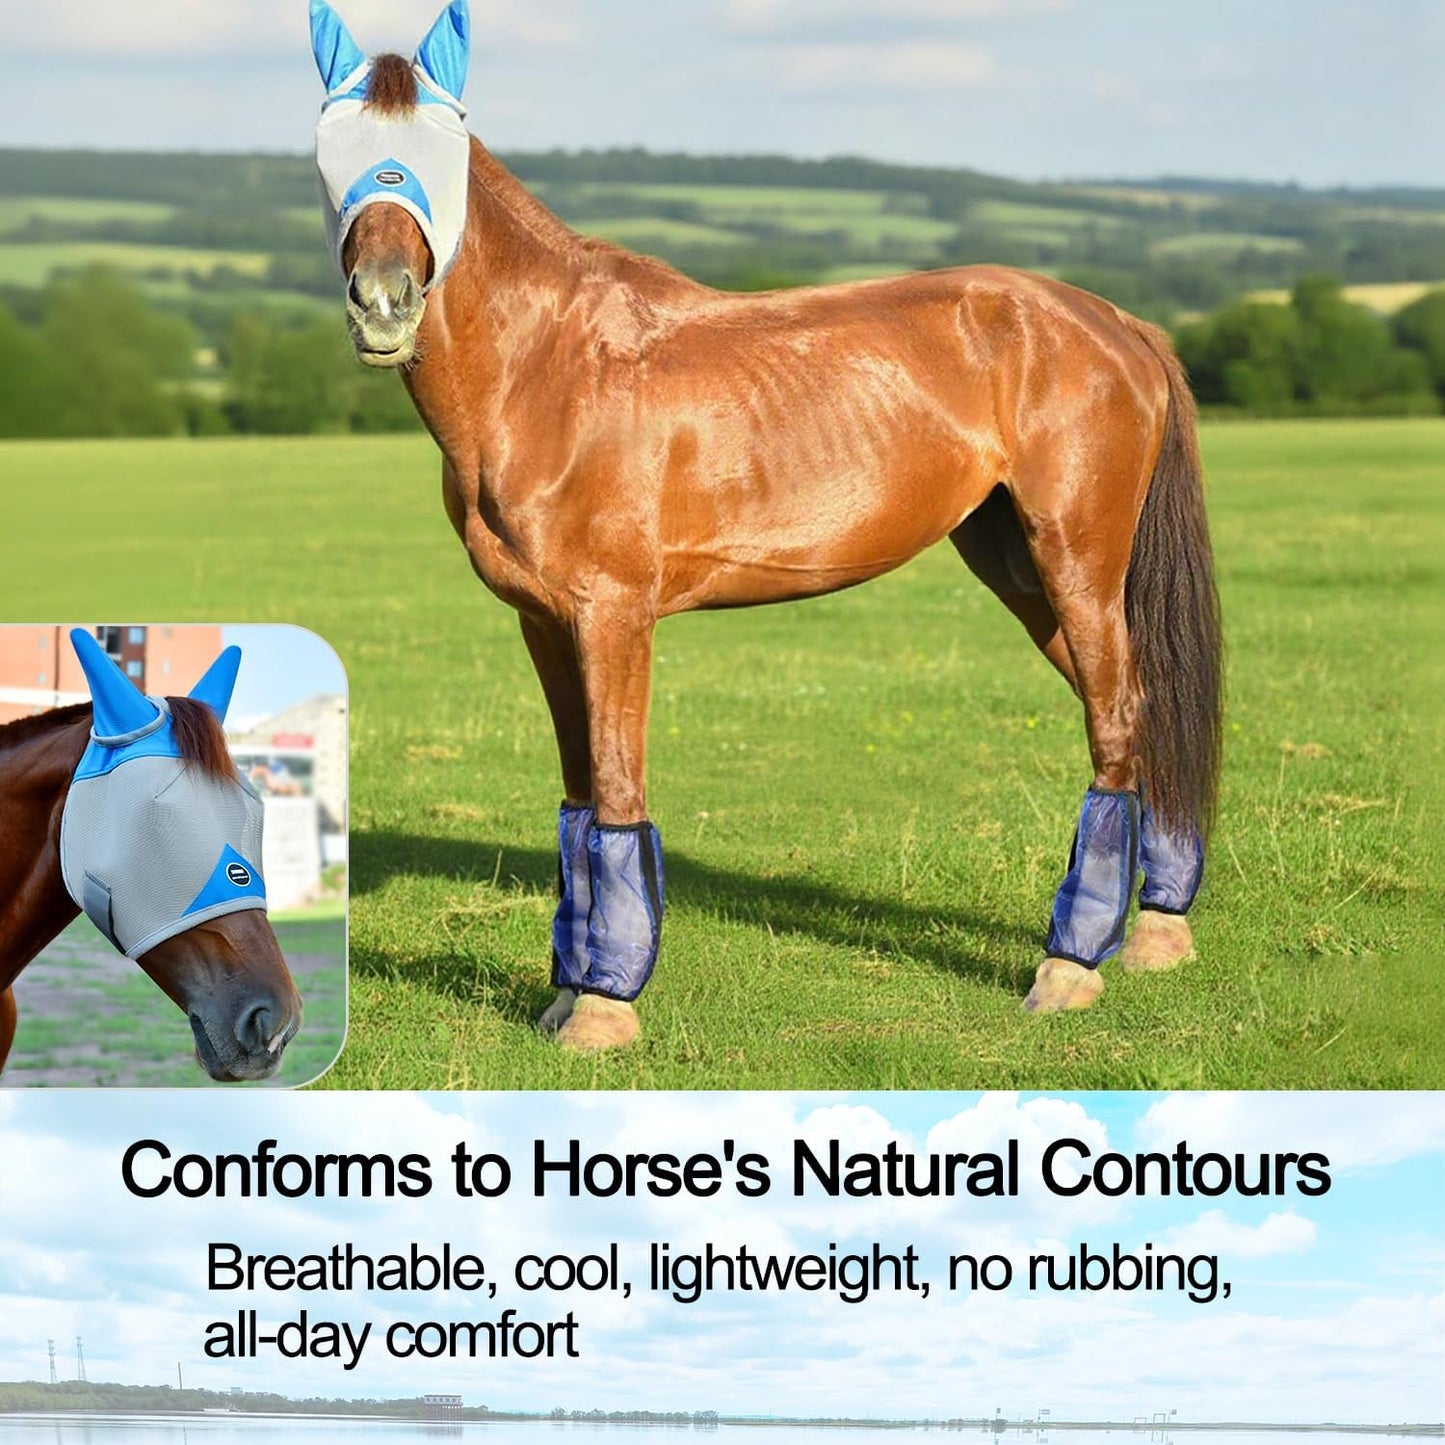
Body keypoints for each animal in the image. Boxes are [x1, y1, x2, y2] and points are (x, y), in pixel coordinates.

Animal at [310, 0, 1222, 1052]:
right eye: (329, 153)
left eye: (443, 151)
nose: (384, 303)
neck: (553, 366)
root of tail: (1117, 323)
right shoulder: (543, 621)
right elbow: (578, 797)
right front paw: (564, 993)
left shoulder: (613, 616)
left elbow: (616, 789)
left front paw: (604, 1009)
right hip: (1018, 567)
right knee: (1136, 714)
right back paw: (1154, 933)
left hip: (1077, 560)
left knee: (1114, 719)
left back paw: (1069, 968)